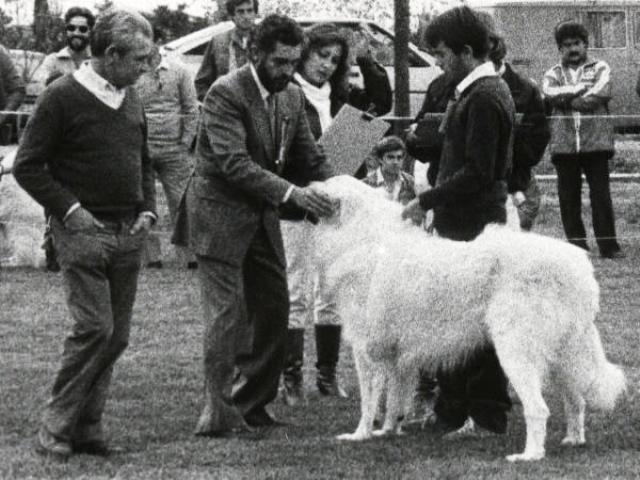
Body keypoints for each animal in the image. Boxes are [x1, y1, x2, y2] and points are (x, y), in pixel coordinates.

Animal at [314, 176, 624, 462]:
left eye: (326, 184)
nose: (307, 186)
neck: (361, 236)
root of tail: (578, 268)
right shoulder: (397, 357)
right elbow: (394, 401)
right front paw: (388, 430)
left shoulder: (367, 352)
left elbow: (369, 403)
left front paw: (360, 435)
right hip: (563, 353)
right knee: (576, 400)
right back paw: (573, 439)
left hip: (516, 351)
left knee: (539, 409)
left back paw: (529, 455)